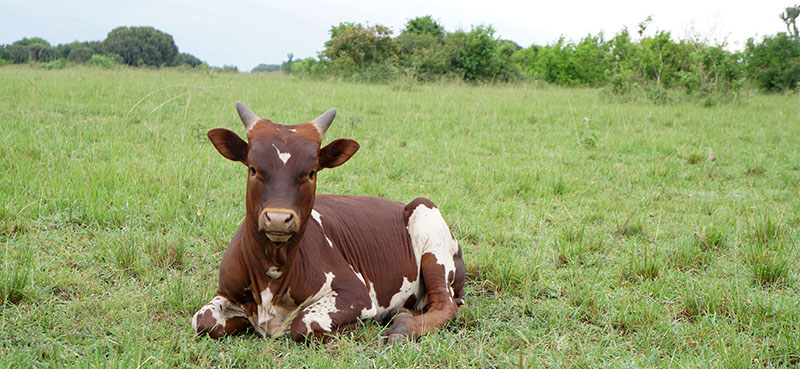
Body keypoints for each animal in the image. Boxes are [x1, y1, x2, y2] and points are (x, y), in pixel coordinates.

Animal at [193, 101, 466, 342]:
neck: (274, 268)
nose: (279, 219)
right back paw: (401, 313)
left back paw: (402, 326)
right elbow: (203, 320)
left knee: (445, 305)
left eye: (311, 172)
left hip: (429, 226)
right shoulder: (226, 293)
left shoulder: (355, 294)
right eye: (253, 169)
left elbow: (304, 324)